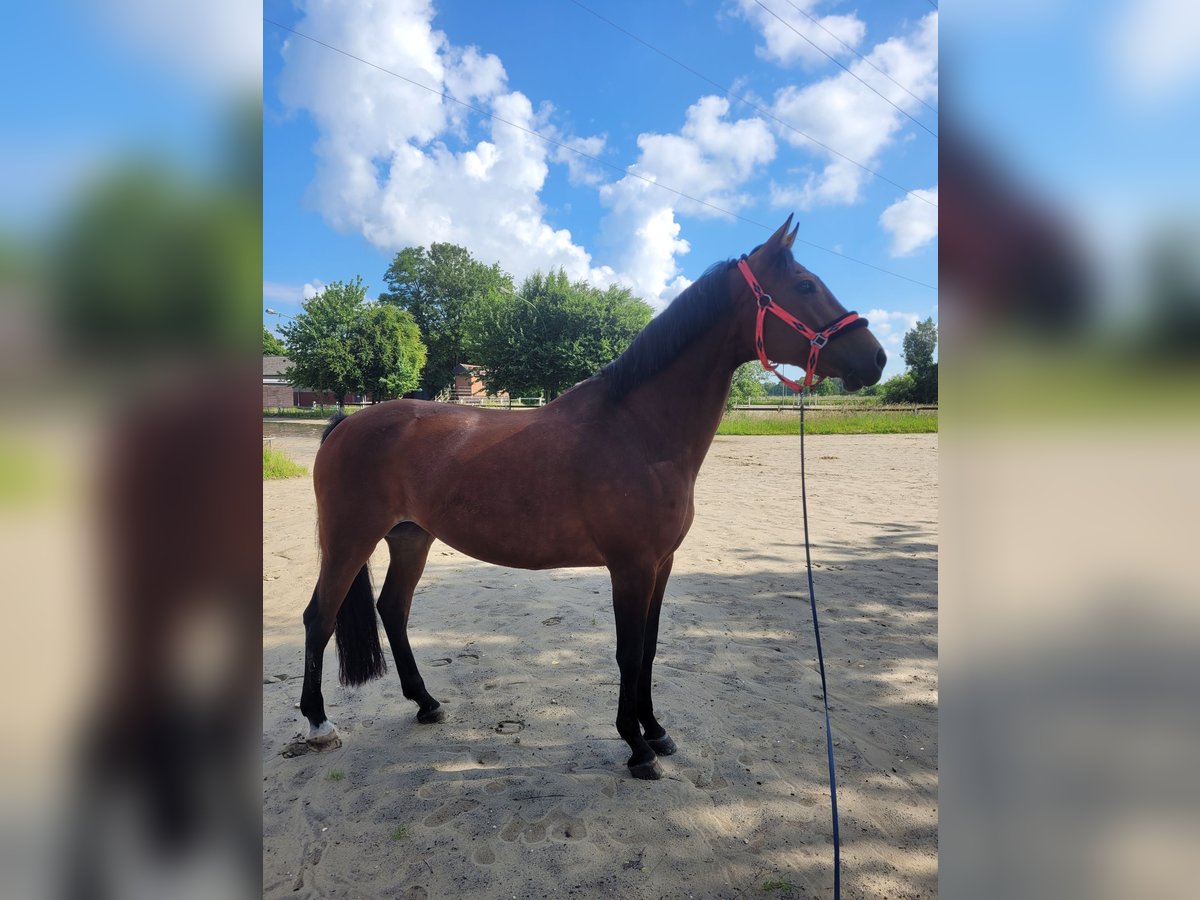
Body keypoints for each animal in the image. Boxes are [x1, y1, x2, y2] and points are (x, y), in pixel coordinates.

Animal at [300, 214, 883, 777]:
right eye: (805, 285)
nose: (875, 358)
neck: (639, 431)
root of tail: (348, 421)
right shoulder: (631, 567)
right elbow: (629, 653)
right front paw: (637, 747)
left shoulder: (661, 565)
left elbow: (649, 648)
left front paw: (657, 731)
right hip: (351, 540)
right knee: (319, 618)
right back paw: (319, 724)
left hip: (411, 538)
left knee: (392, 610)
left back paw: (426, 703)